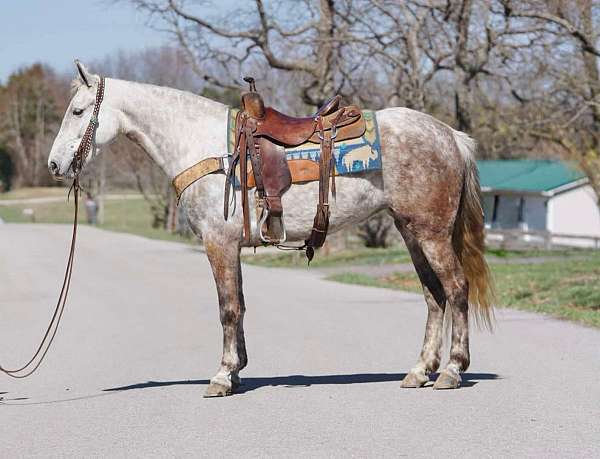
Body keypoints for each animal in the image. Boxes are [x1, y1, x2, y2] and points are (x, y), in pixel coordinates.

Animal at [49, 62, 494, 398]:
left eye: (77, 111)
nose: (55, 164)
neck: (204, 145)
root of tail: (450, 136)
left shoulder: (218, 244)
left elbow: (228, 308)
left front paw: (222, 376)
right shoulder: (231, 246)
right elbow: (240, 306)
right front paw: (237, 370)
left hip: (432, 233)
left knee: (456, 289)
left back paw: (452, 371)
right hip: (410, 231)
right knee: (434, 296)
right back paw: (419, 371)